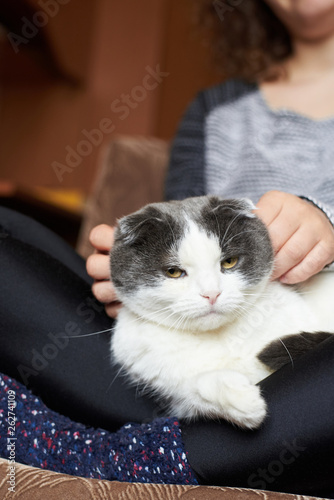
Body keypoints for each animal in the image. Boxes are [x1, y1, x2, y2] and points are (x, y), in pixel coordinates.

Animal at [109, 195, 334, 430]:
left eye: (229, 262)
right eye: (173, 272)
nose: (211, 293)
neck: (222, 339)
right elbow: (191, 392)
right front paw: (239, 398)